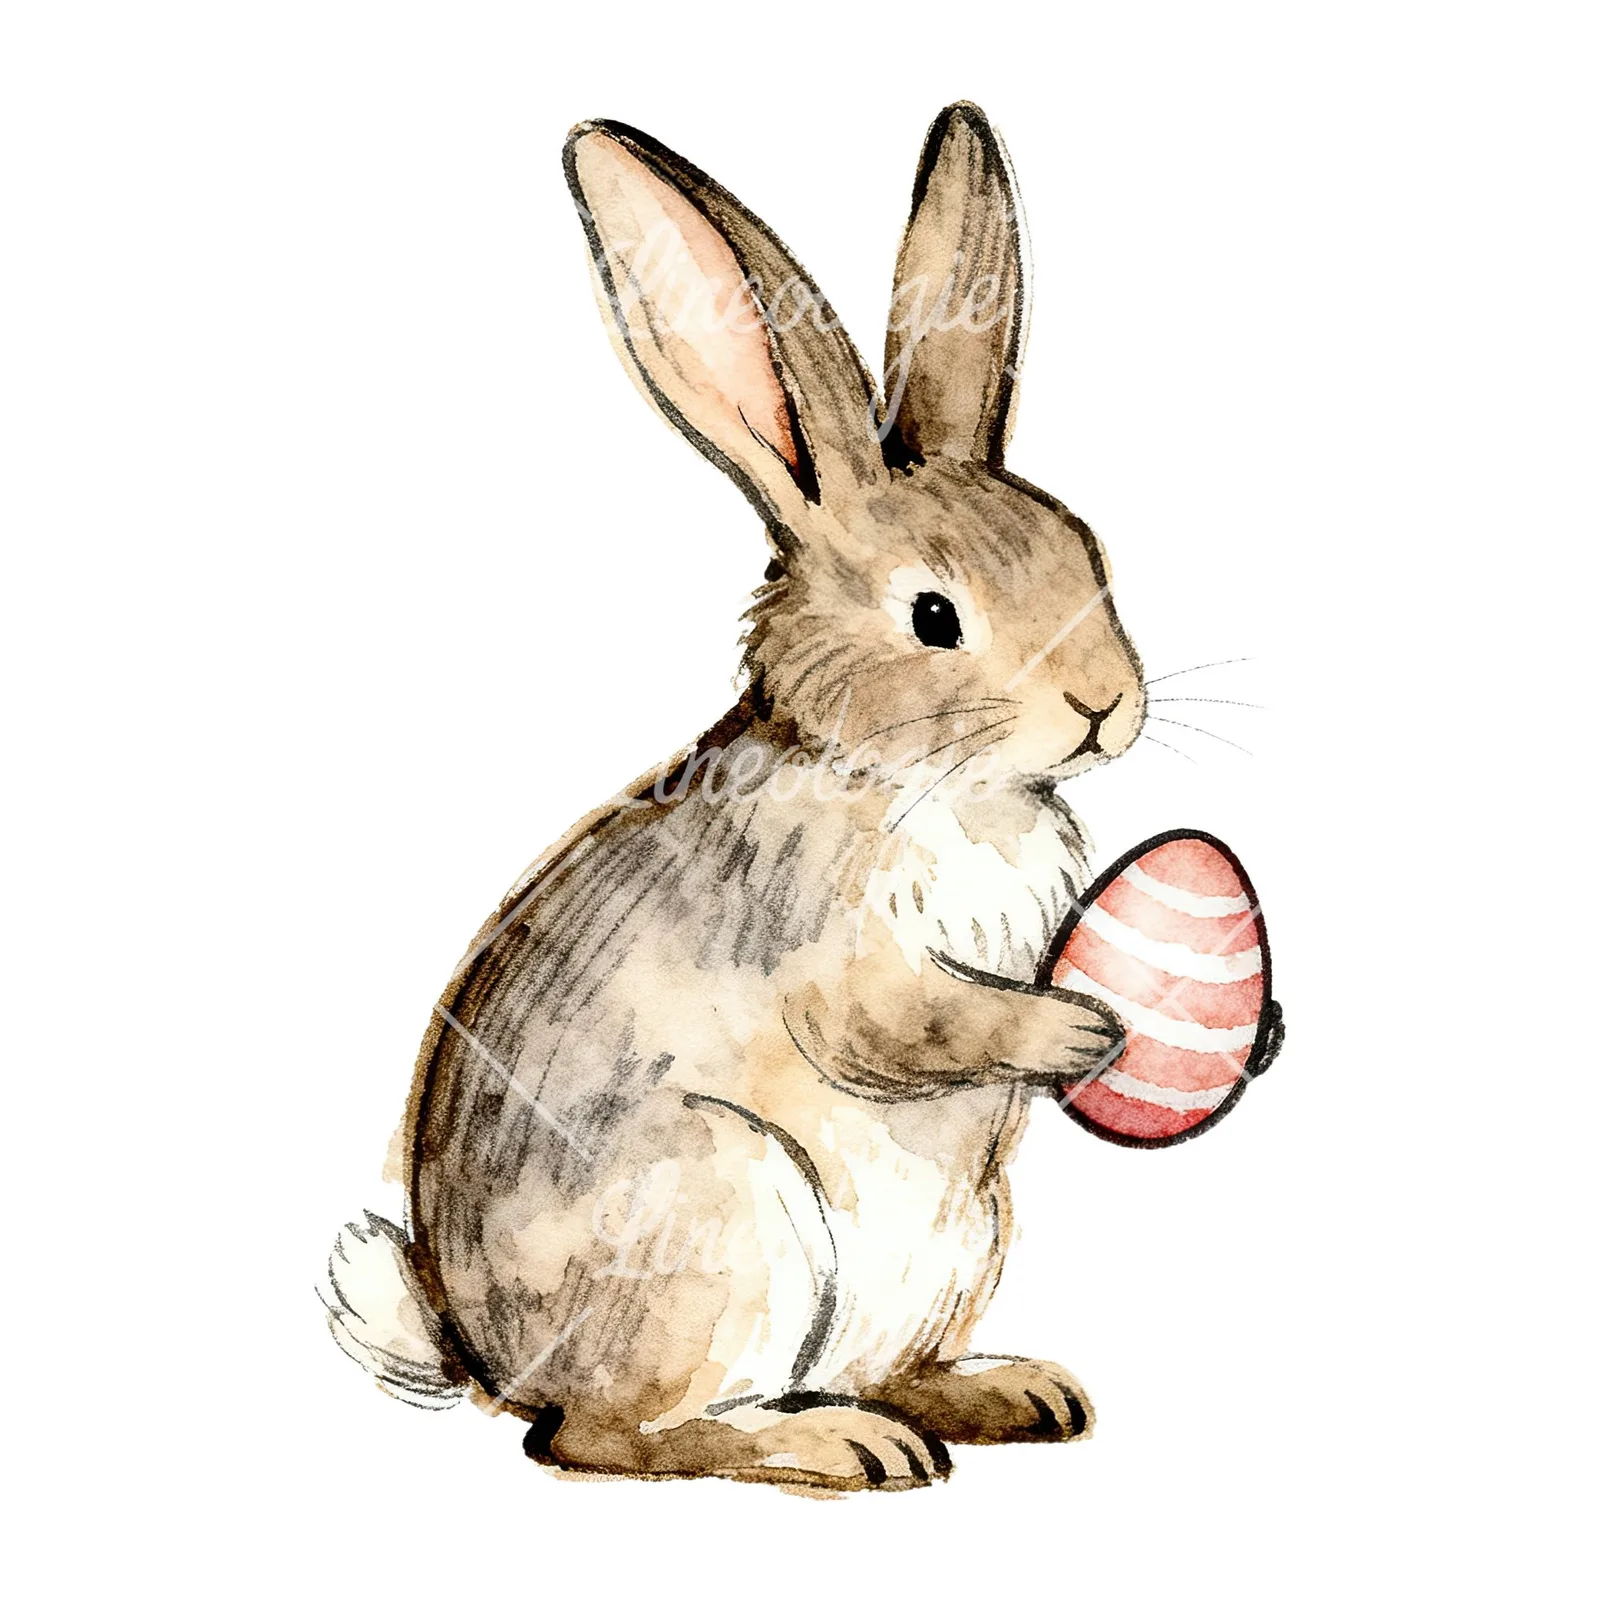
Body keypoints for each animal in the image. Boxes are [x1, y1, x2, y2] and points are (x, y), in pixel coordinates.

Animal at [326, 102, 1152, 1491]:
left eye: (1088, 555)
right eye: (935, 617)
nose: (1105, 706)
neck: (909, 775)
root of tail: (487, 1360)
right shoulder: (829, 945)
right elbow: (906, 1023)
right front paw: (1077, 1029)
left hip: (958, 1241)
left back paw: (1003, 1395)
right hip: (724, 1213)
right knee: (607, 1438)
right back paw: (838, 1447)